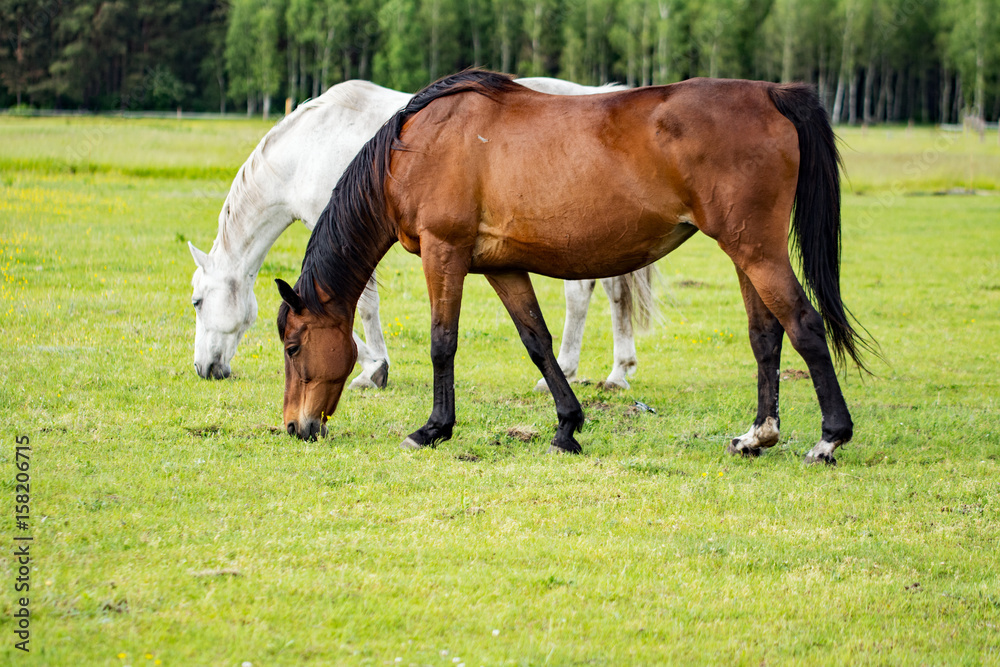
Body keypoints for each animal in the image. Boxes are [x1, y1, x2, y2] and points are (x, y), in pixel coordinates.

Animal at [188, 77, 654, 391]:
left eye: (197, 301)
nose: (204, 369)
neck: (307, 149)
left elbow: (361, 305)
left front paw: (373, 369)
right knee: (613, 292)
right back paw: (617, 371)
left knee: (582, 295)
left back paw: (572, 372)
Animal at [276, 70, 876, 464]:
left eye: (293, 347)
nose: (294, 427)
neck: (415, 148)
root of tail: (770, 93)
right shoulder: (501, 266)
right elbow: (537, 342)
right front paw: (567, 427)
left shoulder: (445, 254)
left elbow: (442, 343)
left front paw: (433, 429)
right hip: (744, 253)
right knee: (765, 336)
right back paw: (757, 436)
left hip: (757, 251)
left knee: (804, 325)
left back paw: (830, 437)